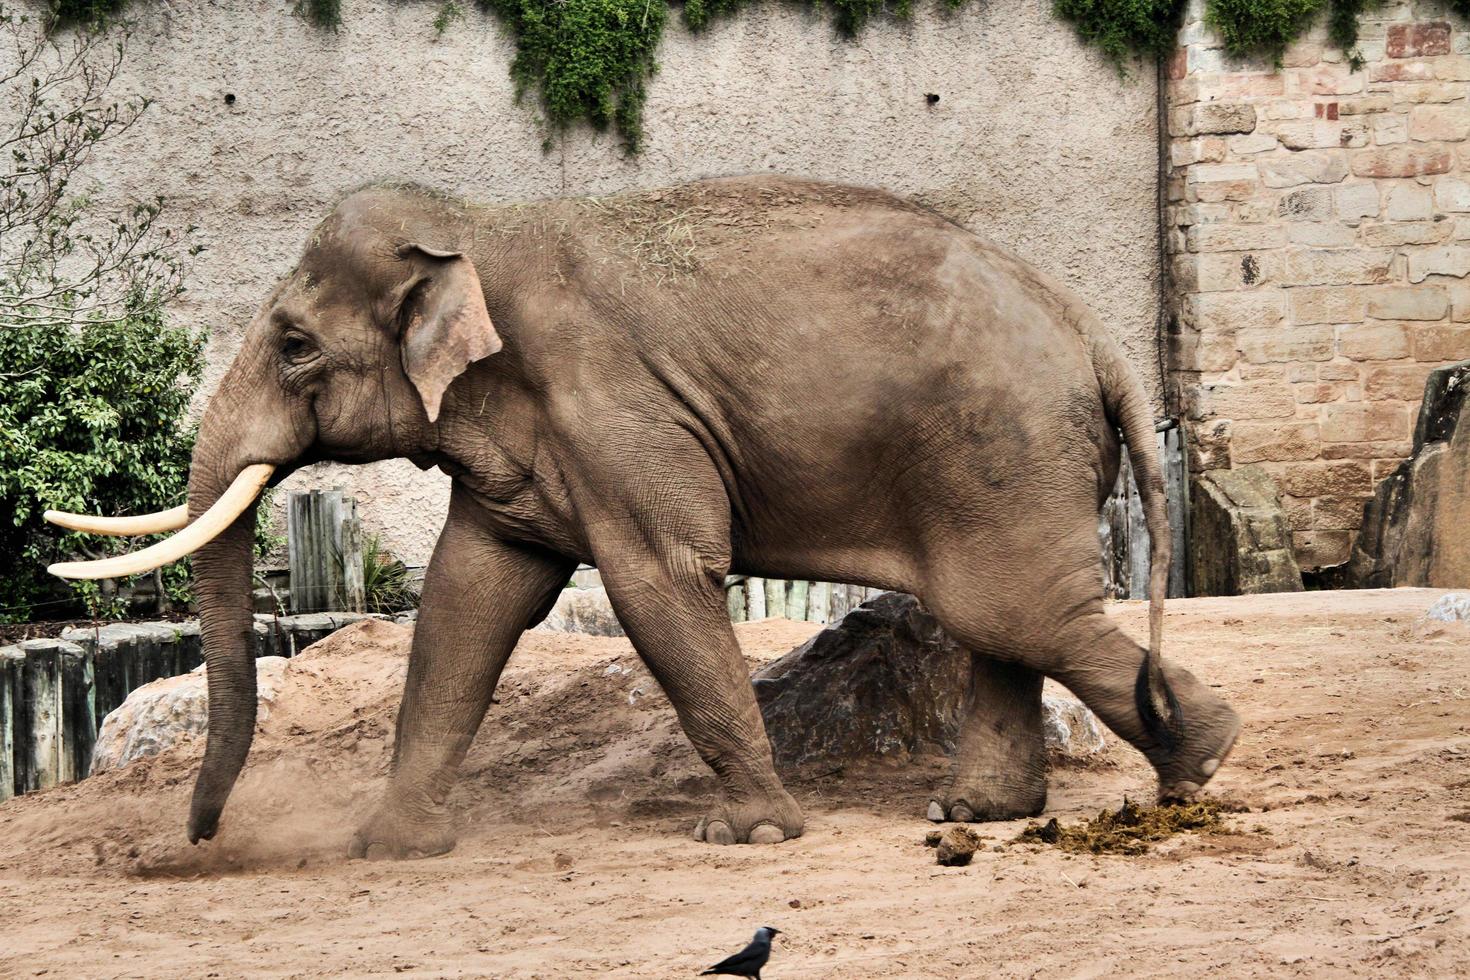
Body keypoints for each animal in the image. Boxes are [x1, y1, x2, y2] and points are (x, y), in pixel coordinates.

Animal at [48, 176, 1240, 858]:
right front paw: (389, 845)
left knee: (1014, 611)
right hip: (998, 464)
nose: (200, 841)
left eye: (295, 345)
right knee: (998, 616)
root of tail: (1098, 335)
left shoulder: (612, 408)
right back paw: (977, 815)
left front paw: (748, 835)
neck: (484, 228)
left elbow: (657, 581)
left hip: (1004, 447)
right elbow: (471, 592)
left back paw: (1202, 758)